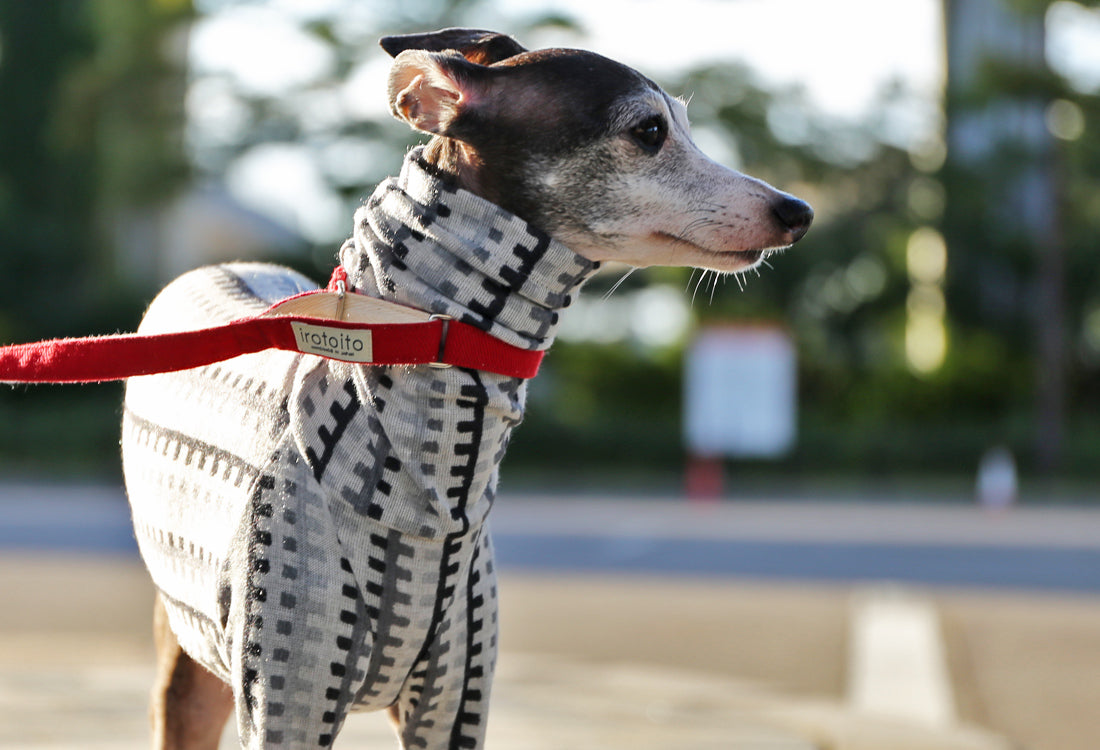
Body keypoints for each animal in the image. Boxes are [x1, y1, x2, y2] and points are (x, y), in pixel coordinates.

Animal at [122, 29, 809, 747]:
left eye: (683, 124)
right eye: (649, 130)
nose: (799, 212)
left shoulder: (454, 695)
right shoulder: (289, 702)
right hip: (190, 662)